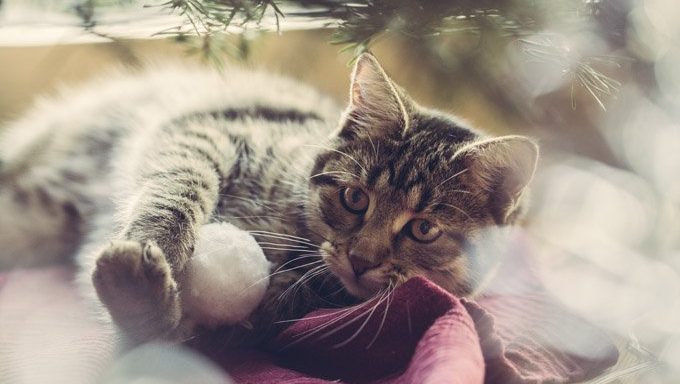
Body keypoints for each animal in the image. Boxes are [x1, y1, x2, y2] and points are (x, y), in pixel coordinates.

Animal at [0, 52, 540, 344]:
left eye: (423, 229)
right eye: (355, 198)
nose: (361, 260)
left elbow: (179, 334)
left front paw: (140, 298)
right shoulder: (212, 131)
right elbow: (179, 186)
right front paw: (157, 248)